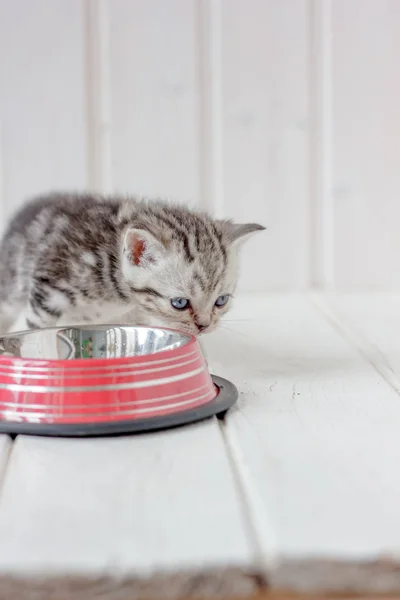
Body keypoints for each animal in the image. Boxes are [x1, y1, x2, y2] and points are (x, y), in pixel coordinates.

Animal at [0, 195, 266, 338]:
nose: (204, 326)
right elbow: (39, 330)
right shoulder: (47, 291)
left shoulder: (133, 316)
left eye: (221, 301)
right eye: (180, 303)